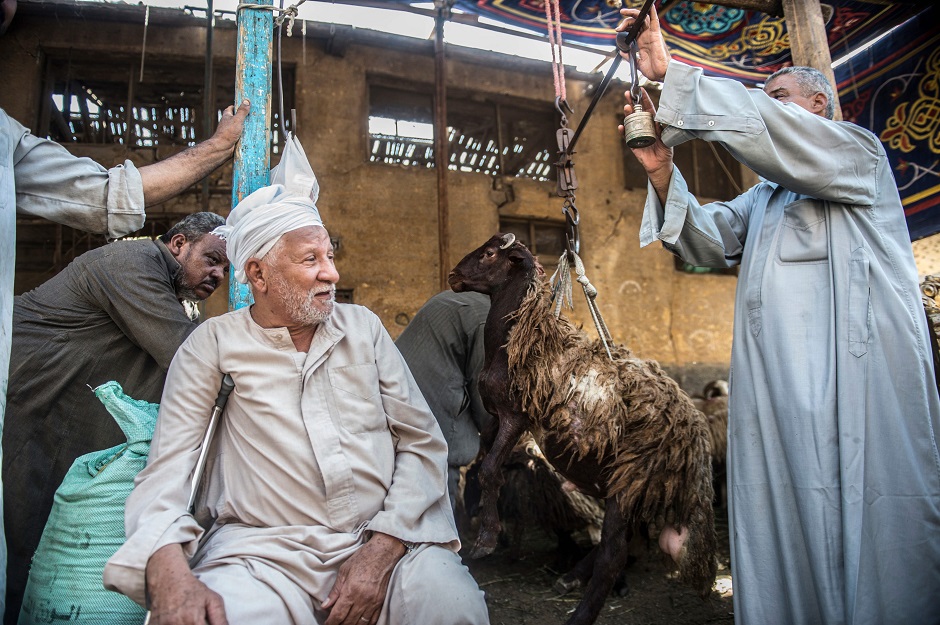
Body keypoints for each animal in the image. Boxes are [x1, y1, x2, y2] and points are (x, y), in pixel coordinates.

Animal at [452, 233, 716, 624]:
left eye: (488, 253)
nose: (452, 276)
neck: (519, 336)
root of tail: (695, 437)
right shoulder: (495, 418)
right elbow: (482, 469)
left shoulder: (516, 416)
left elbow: (488, 471)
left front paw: (486, 539)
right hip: (634, 487)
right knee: (627, 540)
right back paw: (570, 578)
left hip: (631, 480)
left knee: (614, 553)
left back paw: (580, 612)